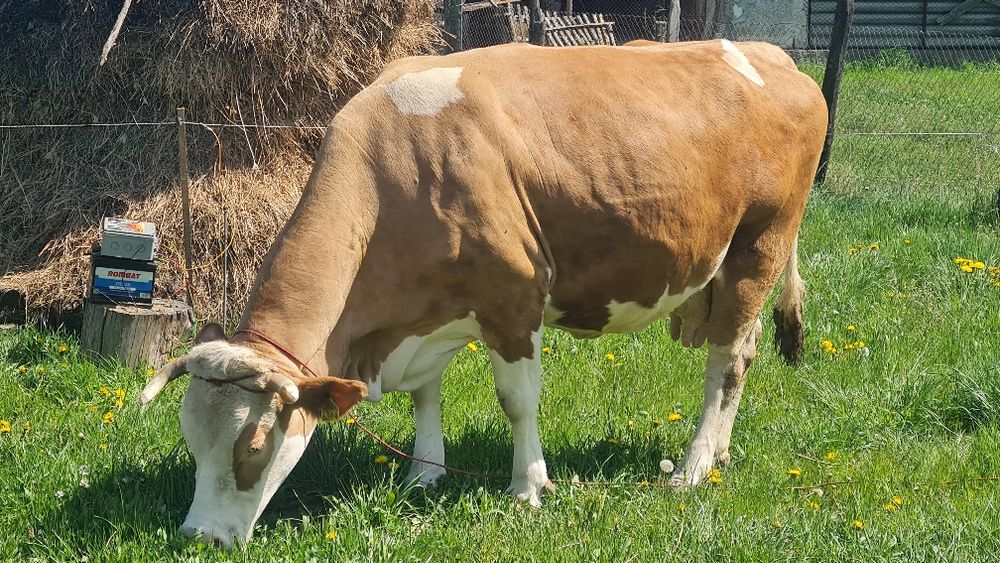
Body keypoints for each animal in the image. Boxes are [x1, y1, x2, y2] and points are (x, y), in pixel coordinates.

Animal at [139, 39, 826, 547]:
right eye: (191, 441)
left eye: (253, 447)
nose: (199, 537)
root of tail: (775, 57)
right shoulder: (426, 314)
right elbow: (425, 395)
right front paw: (423, 475)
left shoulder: (514, 299)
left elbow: (517, 401)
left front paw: (529, 487)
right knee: (744, 352)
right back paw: (721, 453)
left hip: (757, 248)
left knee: (726, 362)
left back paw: (691, 468)